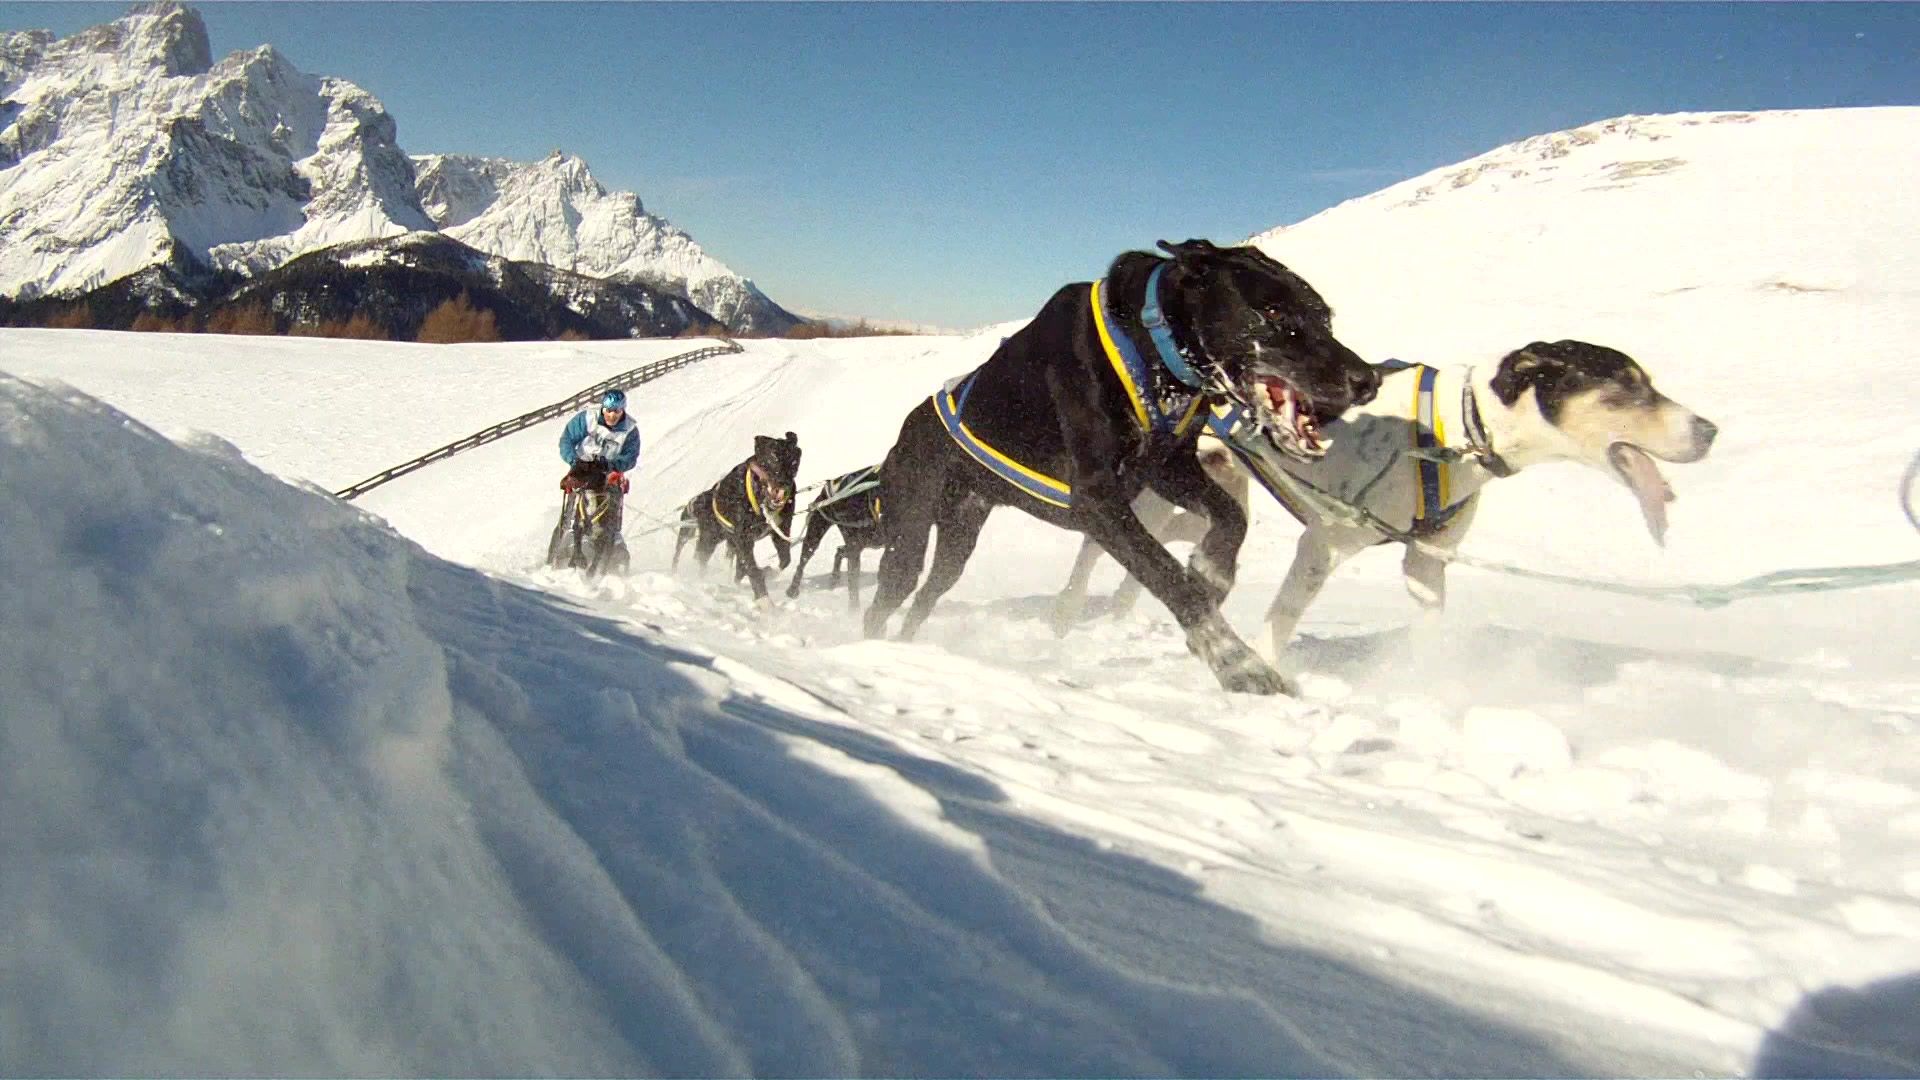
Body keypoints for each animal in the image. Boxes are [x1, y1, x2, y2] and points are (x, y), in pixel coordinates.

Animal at [675, 426, 802, 595]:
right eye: (774, 457)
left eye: (793, 461)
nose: (784, 482)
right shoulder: (743, 538)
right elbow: (752, 569)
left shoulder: (780, 530)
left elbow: (784, 560)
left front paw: (768, 572)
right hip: (709, 539)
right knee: (699, 558)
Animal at [779, 461, 883, 607]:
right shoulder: (855, 547)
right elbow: (853, 587)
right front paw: (854, 610)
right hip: (815, 534)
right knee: (803, 561)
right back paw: (793, 589)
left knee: (840, 550)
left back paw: (835, 578)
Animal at [860, 236, 1382, 691]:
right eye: (1272, 310)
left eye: (1326, 318)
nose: (1367, 380)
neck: (1155, 348)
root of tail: (904, 434)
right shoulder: (1098, 501)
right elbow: (1168, 577)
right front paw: (1237, 663)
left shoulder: (1168, 468)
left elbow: (1230, 518)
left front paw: (1211, 572)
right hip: (909, 530)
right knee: (886, 597)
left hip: (958, 539)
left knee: (927, 595)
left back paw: (907, 647)